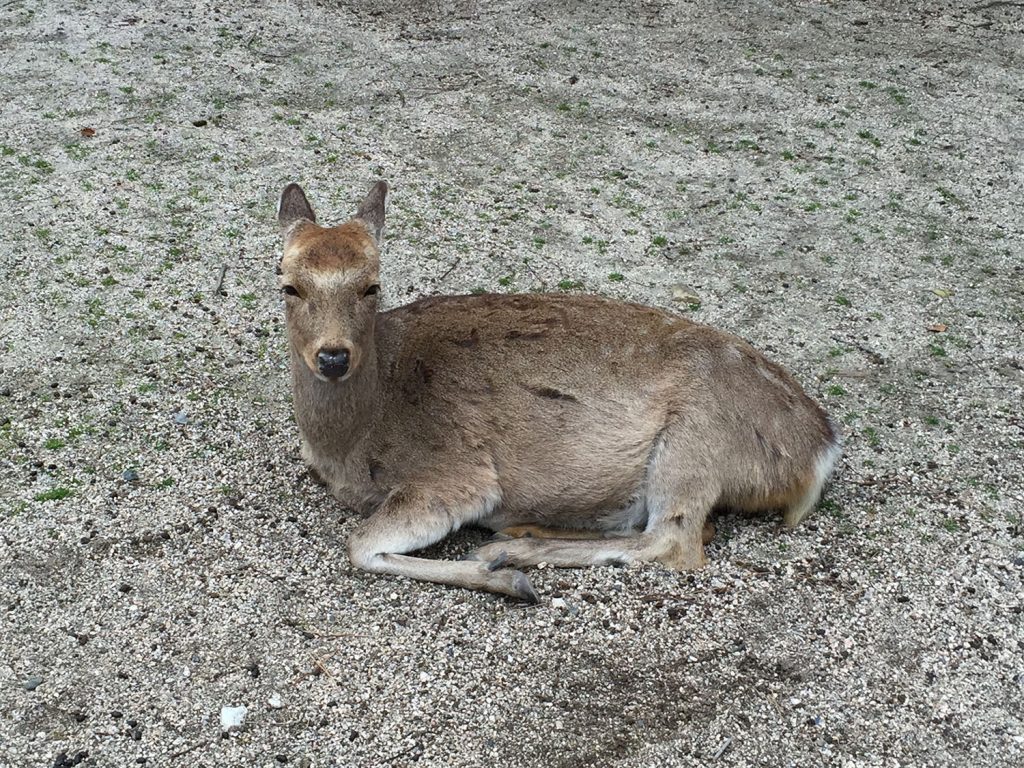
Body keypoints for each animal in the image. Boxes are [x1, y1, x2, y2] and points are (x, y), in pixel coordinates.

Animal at [274, 180, 839, 602]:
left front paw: (507, 580)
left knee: (675, 542)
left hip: (697, 442)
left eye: (372, 284)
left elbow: (358, 545)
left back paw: (508, 553)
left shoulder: (456, 476)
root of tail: (821, 449)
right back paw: (521, 533)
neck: (352, 442)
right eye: (288, 284)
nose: (333, 356)